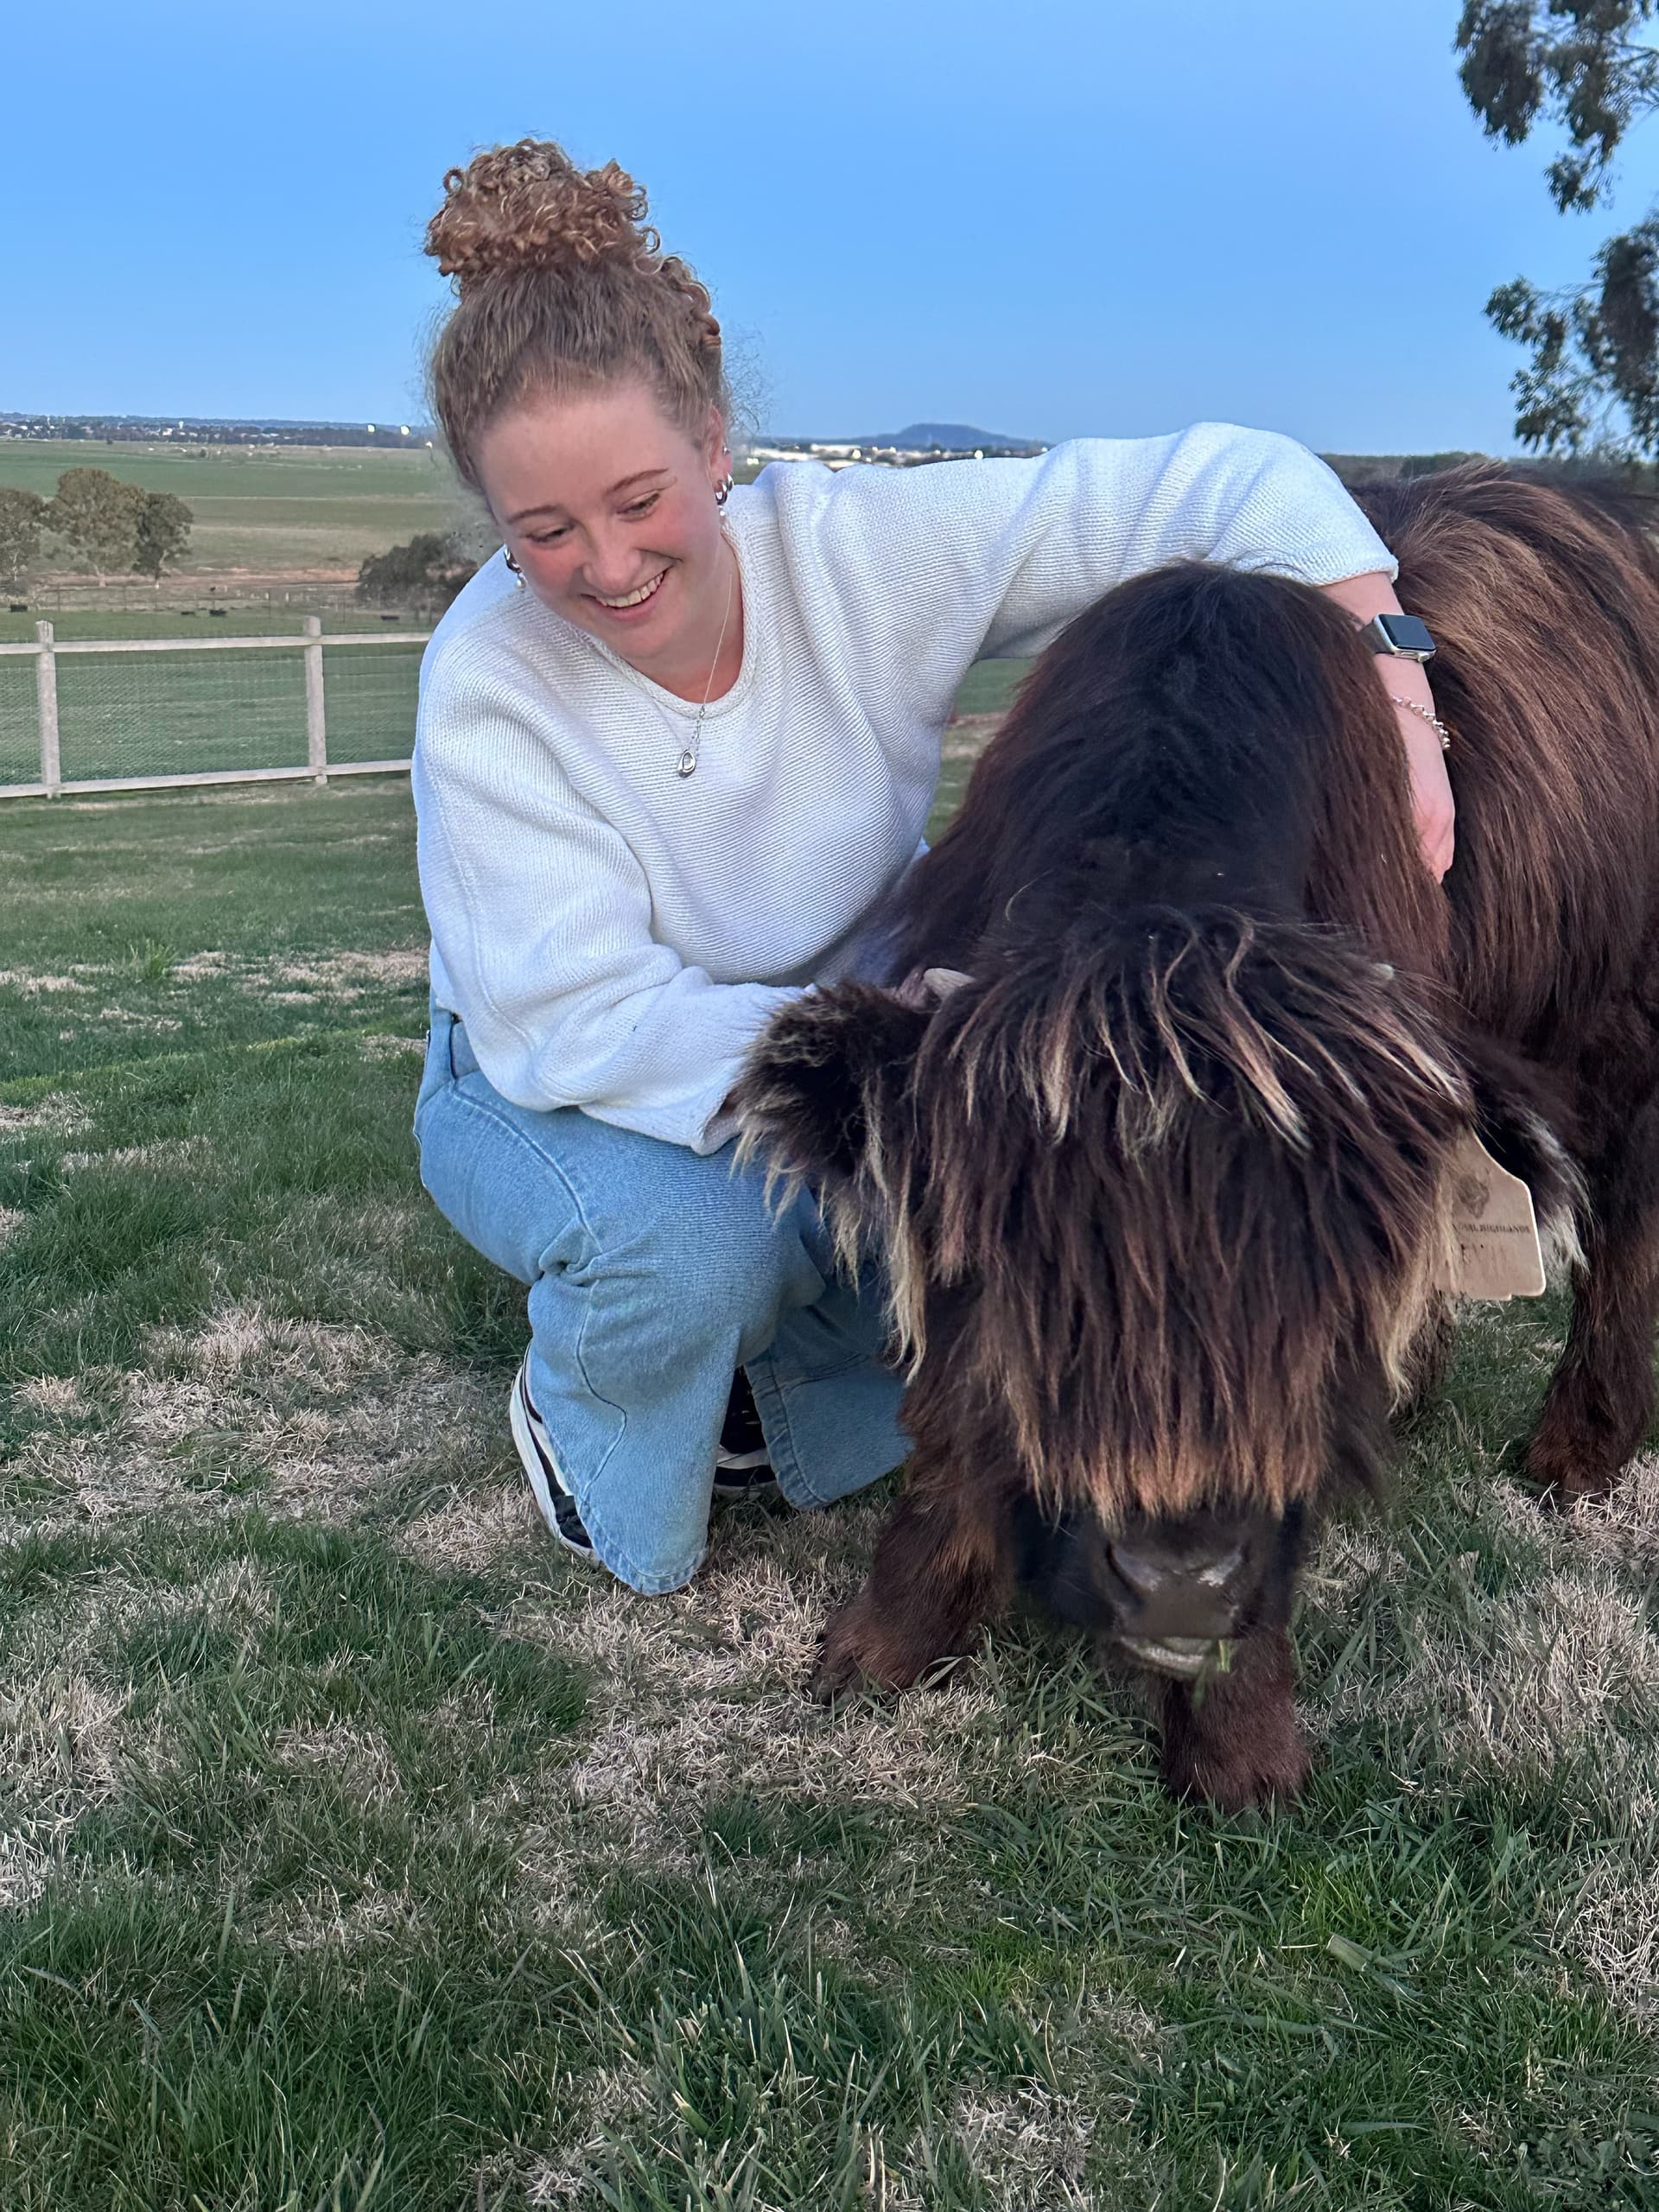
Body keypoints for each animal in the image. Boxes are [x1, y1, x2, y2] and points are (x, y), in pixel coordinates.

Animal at [729, 466, 1659, 1810]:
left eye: (1319, 1295)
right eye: (1023, 1276)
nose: (1180, 1582)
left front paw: (1240, 1749)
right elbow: (949, 1412)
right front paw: (889, 1636)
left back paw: (1577, 1445)